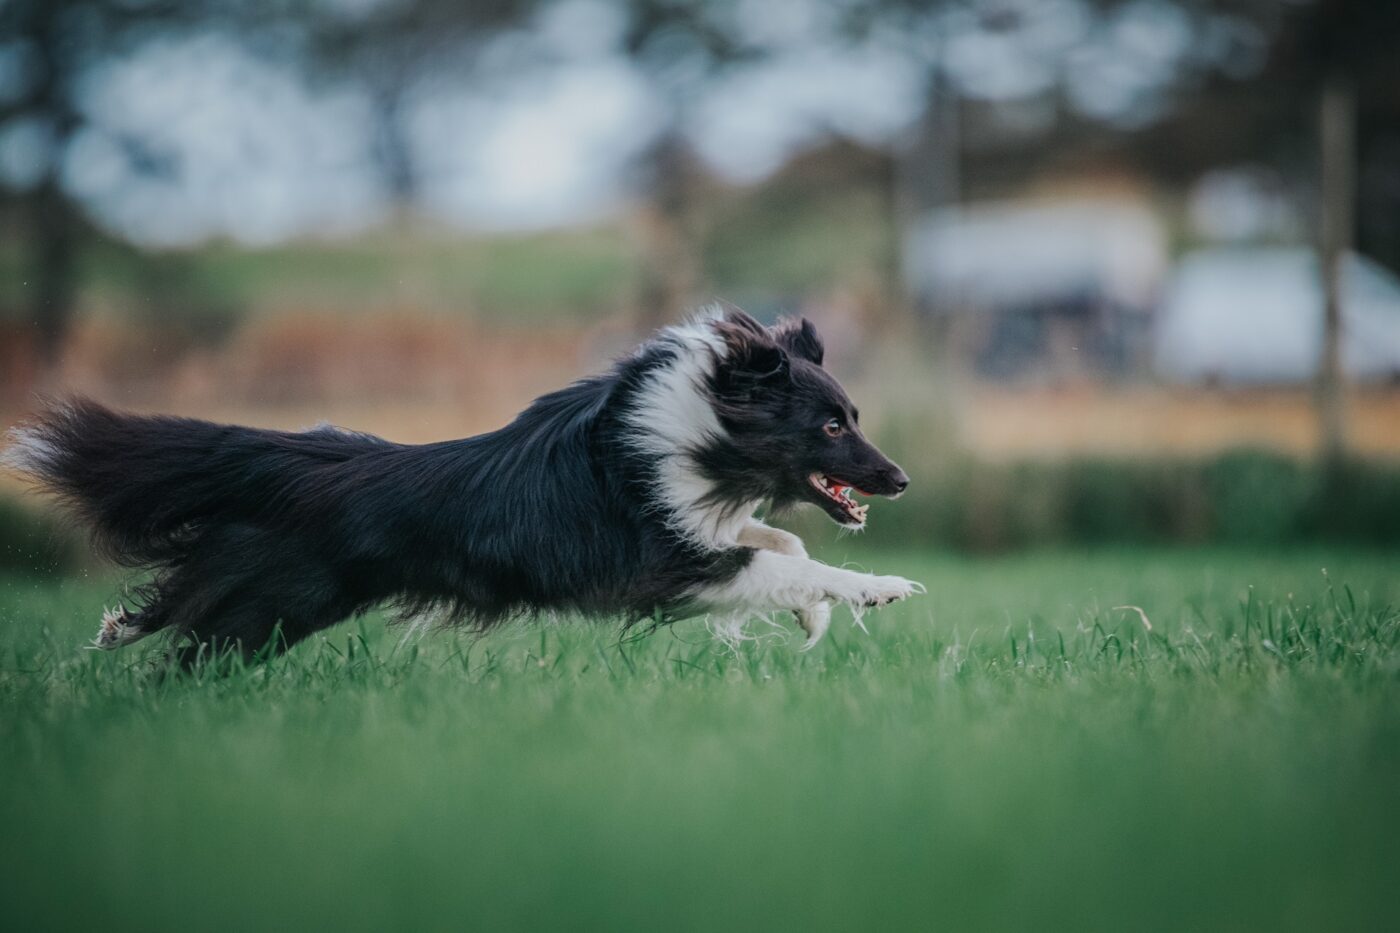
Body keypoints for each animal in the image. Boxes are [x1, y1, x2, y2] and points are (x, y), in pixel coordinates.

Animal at [5, 303, 918, 652]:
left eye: (854, 415)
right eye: (831, 425)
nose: (901, 478)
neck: (698, 423)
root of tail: (294, 458)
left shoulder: (698, 532)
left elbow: (782, 543)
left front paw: (812, 614)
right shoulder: (662, 563)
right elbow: (784, 557)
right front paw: (878, 589)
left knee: (175, 606)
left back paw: (114, 630)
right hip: (276, 606)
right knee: (192, 647)